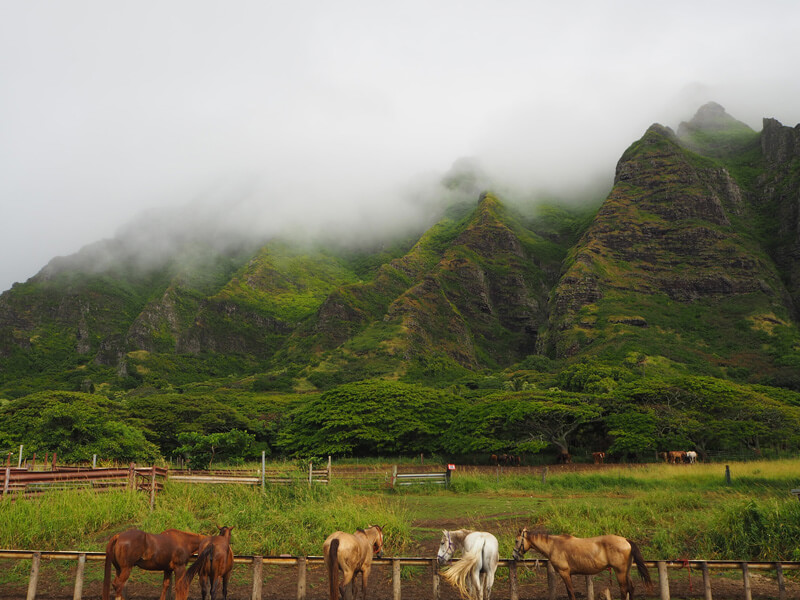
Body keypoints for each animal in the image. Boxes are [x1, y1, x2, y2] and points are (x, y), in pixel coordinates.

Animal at [512, 528, 648, 596]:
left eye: (516, 541)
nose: (514, 555)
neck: (554, 545)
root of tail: (626, 540)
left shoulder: (564, 573)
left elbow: (571, 592)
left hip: (620, 572)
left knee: (624, 589)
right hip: (626, 571)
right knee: (631, 588)